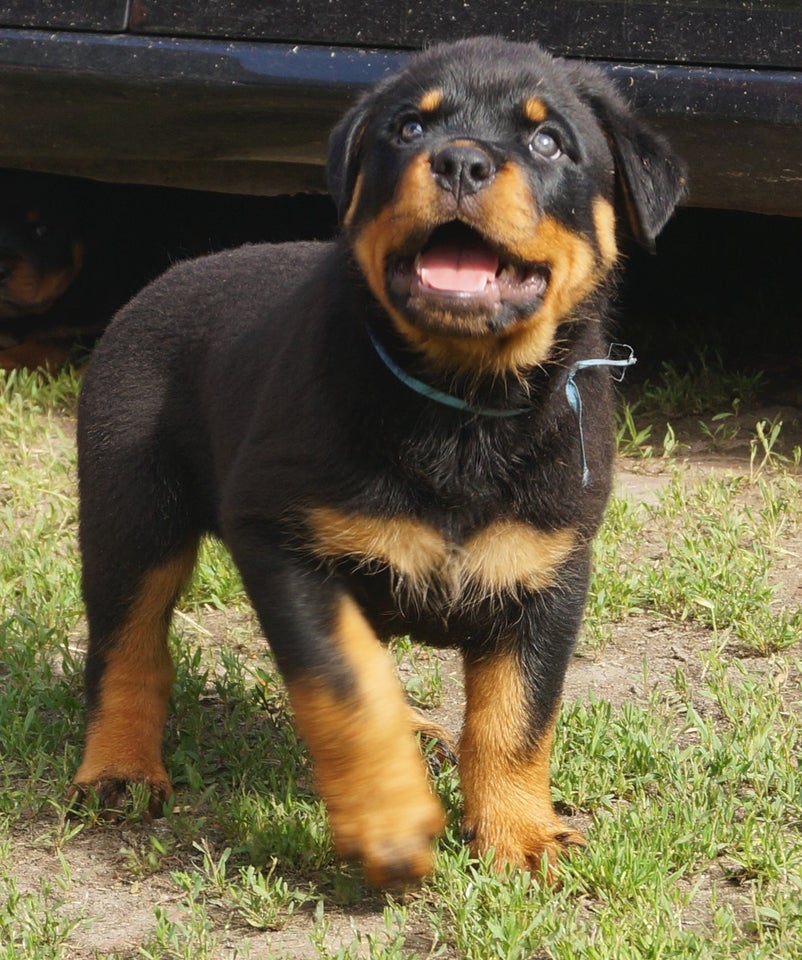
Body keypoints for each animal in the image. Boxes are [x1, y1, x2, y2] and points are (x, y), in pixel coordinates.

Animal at [72, 37, 684, 884]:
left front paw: (520, 833)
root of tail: (167, 275)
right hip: (132, 509)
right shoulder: (281, 537)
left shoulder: (549, 569)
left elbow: (517, 715)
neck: (461, 403)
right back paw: (120, 767)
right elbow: (346, 685)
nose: (459, 160)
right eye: (407, 128)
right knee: (125, 647)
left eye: (547, 141)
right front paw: (390, 821)